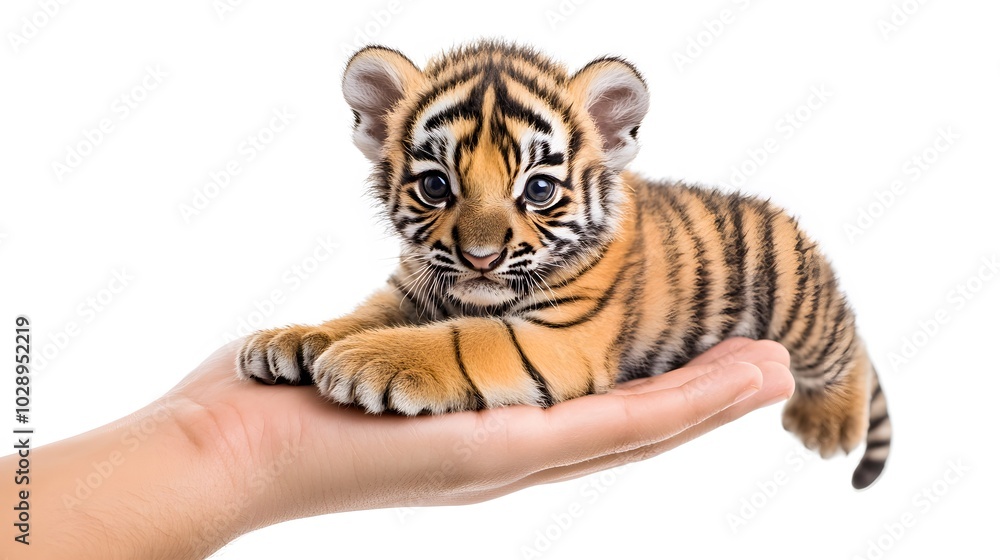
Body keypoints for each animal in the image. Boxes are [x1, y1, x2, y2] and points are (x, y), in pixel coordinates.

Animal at [236, 40, 892, 489]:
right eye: (435, 186)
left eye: (540, 190)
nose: (480, 258)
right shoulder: (410, 287)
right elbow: (358, 315)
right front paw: (291, 340)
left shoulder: (558, 337)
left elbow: (461, 339)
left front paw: (363, 361)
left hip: (802, 310)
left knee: (848, 350)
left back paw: (828, 424)